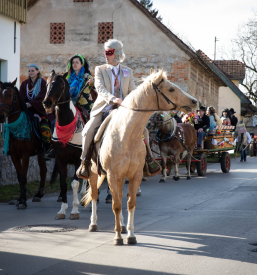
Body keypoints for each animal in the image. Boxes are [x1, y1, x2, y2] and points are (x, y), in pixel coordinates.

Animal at [0, 79, 48, 209]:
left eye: (10, 95)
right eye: (0, 94)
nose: (1, 115)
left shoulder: (25, 155)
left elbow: (23, 177)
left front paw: (22, 202)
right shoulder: (14, 155)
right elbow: (19, 176)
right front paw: (21, 198)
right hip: (41, 153)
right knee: (43, 171)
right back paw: (39, 194)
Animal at [42, 70, 85, 220]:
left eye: (60, 85)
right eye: (47, 83)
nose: (47, 102)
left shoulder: (78, 159)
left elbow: (75, 183)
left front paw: (75, 210)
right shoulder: (60, 159)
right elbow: (63, 184)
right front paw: (62, 210)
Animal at [81, 69, 197, 246]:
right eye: (171, 89)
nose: (194, 101)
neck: (125, 135)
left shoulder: (135, 175)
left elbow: (130, 204)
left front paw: (130, 235)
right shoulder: (112, 175)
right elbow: (116, 205)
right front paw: (118, 237)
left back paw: (122, 225)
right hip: (94, 173)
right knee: (94, 195)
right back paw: (93, 224)